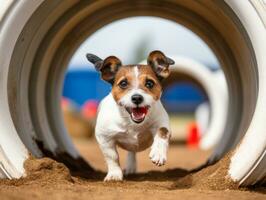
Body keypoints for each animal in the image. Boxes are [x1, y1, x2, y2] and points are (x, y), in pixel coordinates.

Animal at [86, 50, 175, 181]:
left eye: (149, 83)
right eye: (123, 83)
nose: (137, 98)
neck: (132, 123)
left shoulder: (162, 123)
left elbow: (162, 131)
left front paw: (158, 153)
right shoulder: (104, 137)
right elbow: (112, 156)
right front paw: (114, 174)